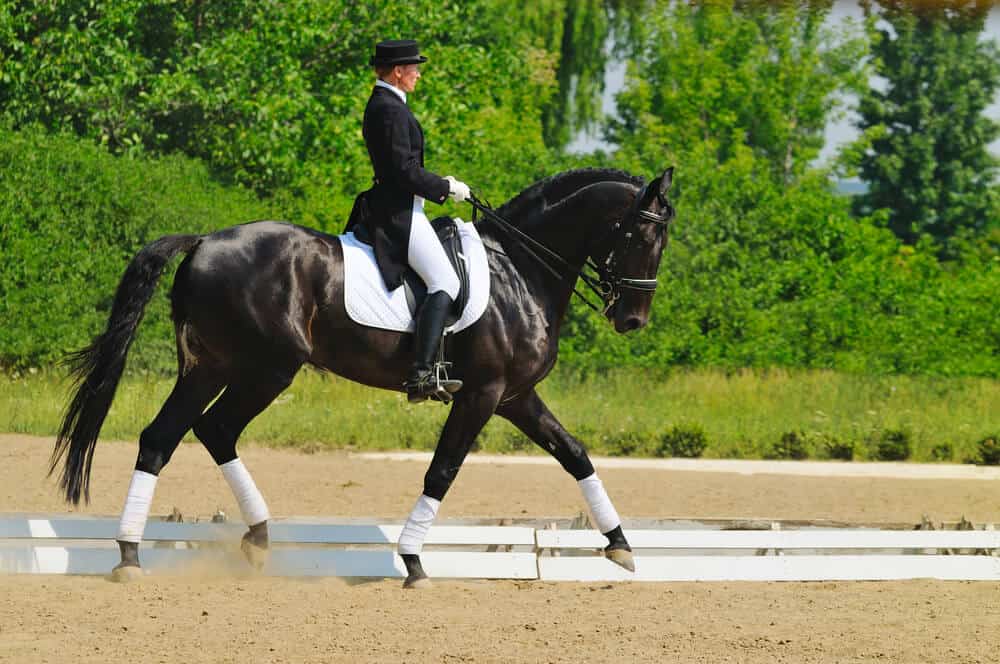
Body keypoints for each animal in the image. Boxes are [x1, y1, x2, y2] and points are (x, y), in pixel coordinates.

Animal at [49, 166, 675, 587]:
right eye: (642, 236)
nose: (633, 319)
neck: (519, 271)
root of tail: (204, 241)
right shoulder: (482, 394)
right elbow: (442, 471)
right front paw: (414, 561)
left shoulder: (516, 396)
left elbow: (575, 453)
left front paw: (621, 545)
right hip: (266, 366)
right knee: (209, 430)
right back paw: (169, 549)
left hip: (212, 367)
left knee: (173, 436)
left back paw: (161, 551)